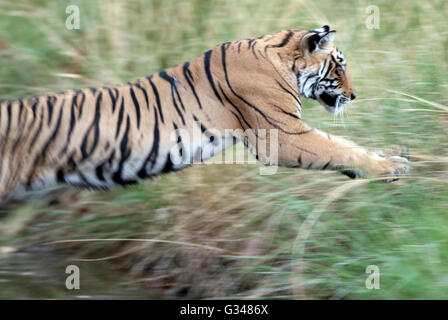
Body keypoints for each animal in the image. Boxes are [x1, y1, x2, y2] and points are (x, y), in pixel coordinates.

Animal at [0, 25, 408, 201]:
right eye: (339, 65)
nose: (355, 95)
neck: (280, 55)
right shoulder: (283, 136)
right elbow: (338, 146)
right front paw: (390, 166)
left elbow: (341, 147)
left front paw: (391, 157)